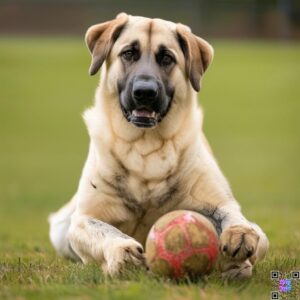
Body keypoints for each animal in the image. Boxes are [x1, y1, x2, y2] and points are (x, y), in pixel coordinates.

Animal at [48, 12, 268, 278]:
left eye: (166, 58)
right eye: (128, 53)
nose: (145, 92)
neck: (146, 149)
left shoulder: (223, 204)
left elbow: (235, 218)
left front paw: (239, 237)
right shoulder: (83, 219)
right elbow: (104, 231)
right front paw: (123, 253)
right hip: (60, 227)